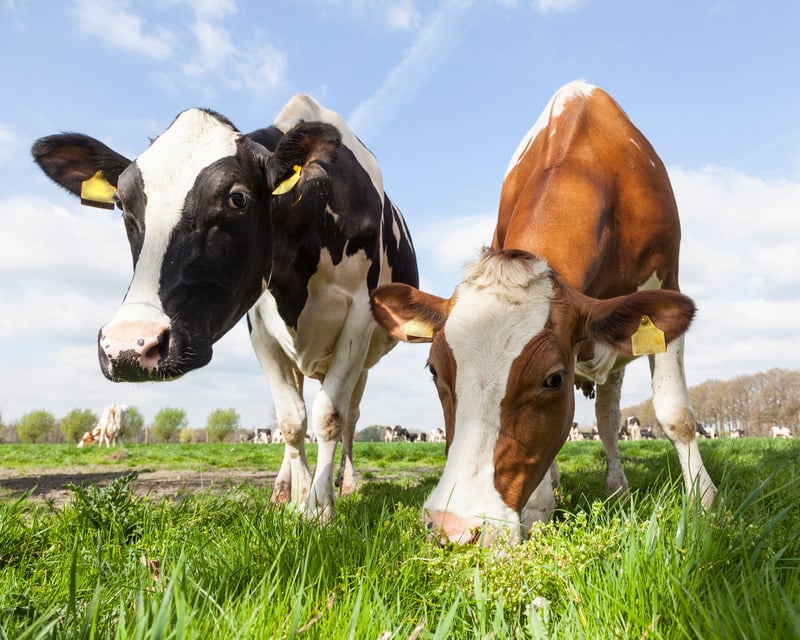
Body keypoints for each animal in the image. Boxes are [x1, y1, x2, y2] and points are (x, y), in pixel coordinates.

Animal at [32, 94, 418, 520]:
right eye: (120, 203)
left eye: (238, 197)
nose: (128, 347)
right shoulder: (261, 326)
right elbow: (291, 420)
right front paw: (298, 500)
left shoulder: (357, 318)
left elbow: (330, 416)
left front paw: (318, 509)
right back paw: (282, 489)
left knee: (350, 417)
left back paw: (345, 484)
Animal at [371, 80, 717, 545]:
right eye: (433, 370)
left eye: (552, 379)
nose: (454, 527)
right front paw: (537, 507)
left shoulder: (667, 281)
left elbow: (675, 413)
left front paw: (703, 502)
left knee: (608, 418)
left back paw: (616, 486)